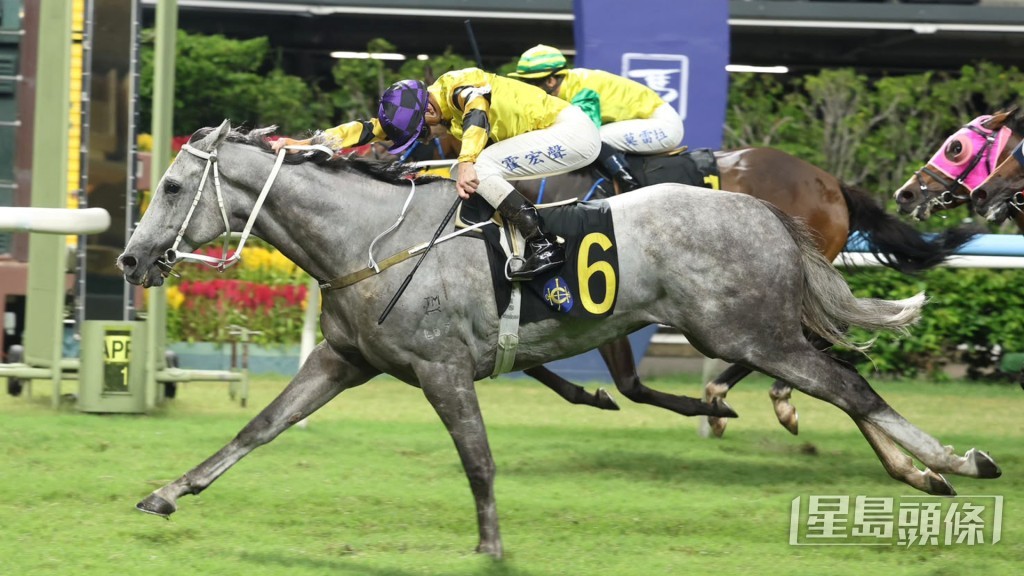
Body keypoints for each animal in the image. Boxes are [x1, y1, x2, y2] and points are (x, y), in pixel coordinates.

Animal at [117, 121, 1000, 557]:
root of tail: (767, 211)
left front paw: (491, 544)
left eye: (172, 185)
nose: (129, 257)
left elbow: (477, 457)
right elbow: (258, 429)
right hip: (761, 330)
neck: (369, 237)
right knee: (845, 377)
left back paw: (956, 461)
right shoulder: (344, 361)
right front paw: (167, 492)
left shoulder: (442, 370)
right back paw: (922, 469)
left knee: (848, 386)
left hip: (750, 332)